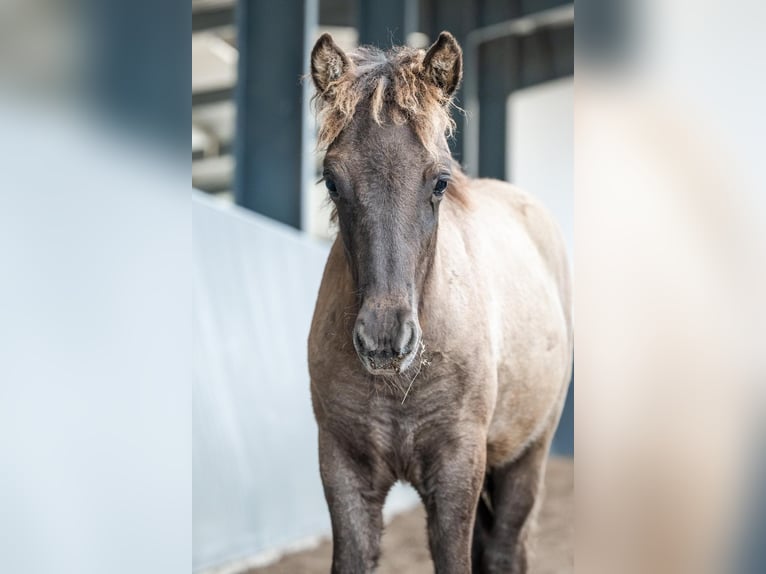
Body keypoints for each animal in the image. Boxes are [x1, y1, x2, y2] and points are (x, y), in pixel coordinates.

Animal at [307, 31, 572, 574]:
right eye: (332, 180)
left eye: (440, 181)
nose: (385, 340)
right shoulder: (343, 469)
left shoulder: (457, 468)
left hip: (526, 456)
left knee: (505, 548)